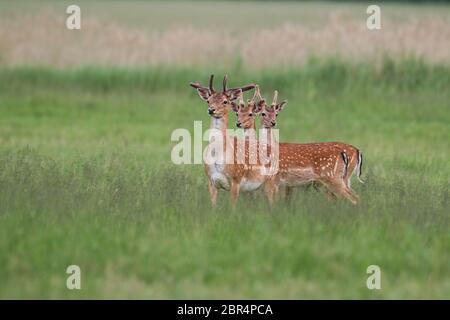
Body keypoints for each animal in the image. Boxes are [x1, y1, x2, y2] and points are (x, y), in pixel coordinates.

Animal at [189, 76, 274, 209]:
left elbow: (232, 207)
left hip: (271, 180)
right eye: (208, 101)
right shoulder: (211, 180)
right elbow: (213, 206)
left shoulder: (236, 179)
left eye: (225, 101)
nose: (211, 110)